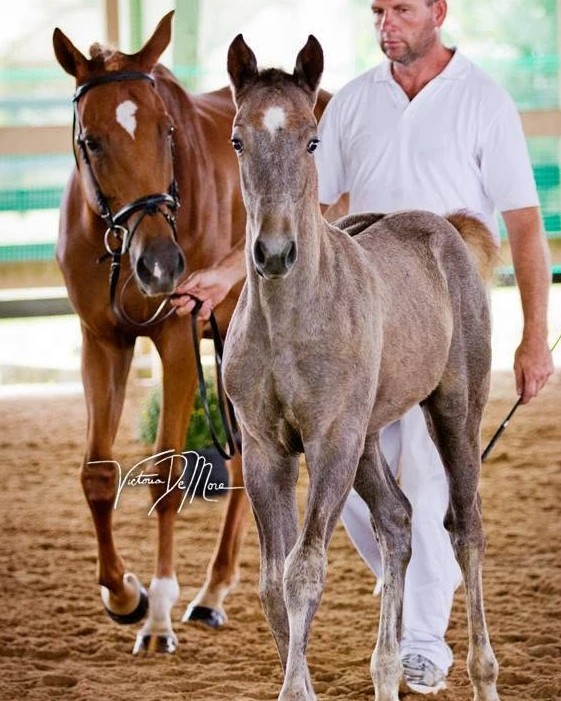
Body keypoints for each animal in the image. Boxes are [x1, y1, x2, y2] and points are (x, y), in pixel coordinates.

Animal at [222, 34, 500, 701]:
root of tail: (443, 227)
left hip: (452, 412)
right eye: (238, 139)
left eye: (312, 140)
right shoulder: (265, 450)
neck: (290, 322)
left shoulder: (330, 443)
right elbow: (271, 583)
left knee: (465, 528)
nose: (273, 253)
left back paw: (483, 674)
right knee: (397, 523)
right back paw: (387, 671)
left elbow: (303, 571)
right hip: (368, 436)